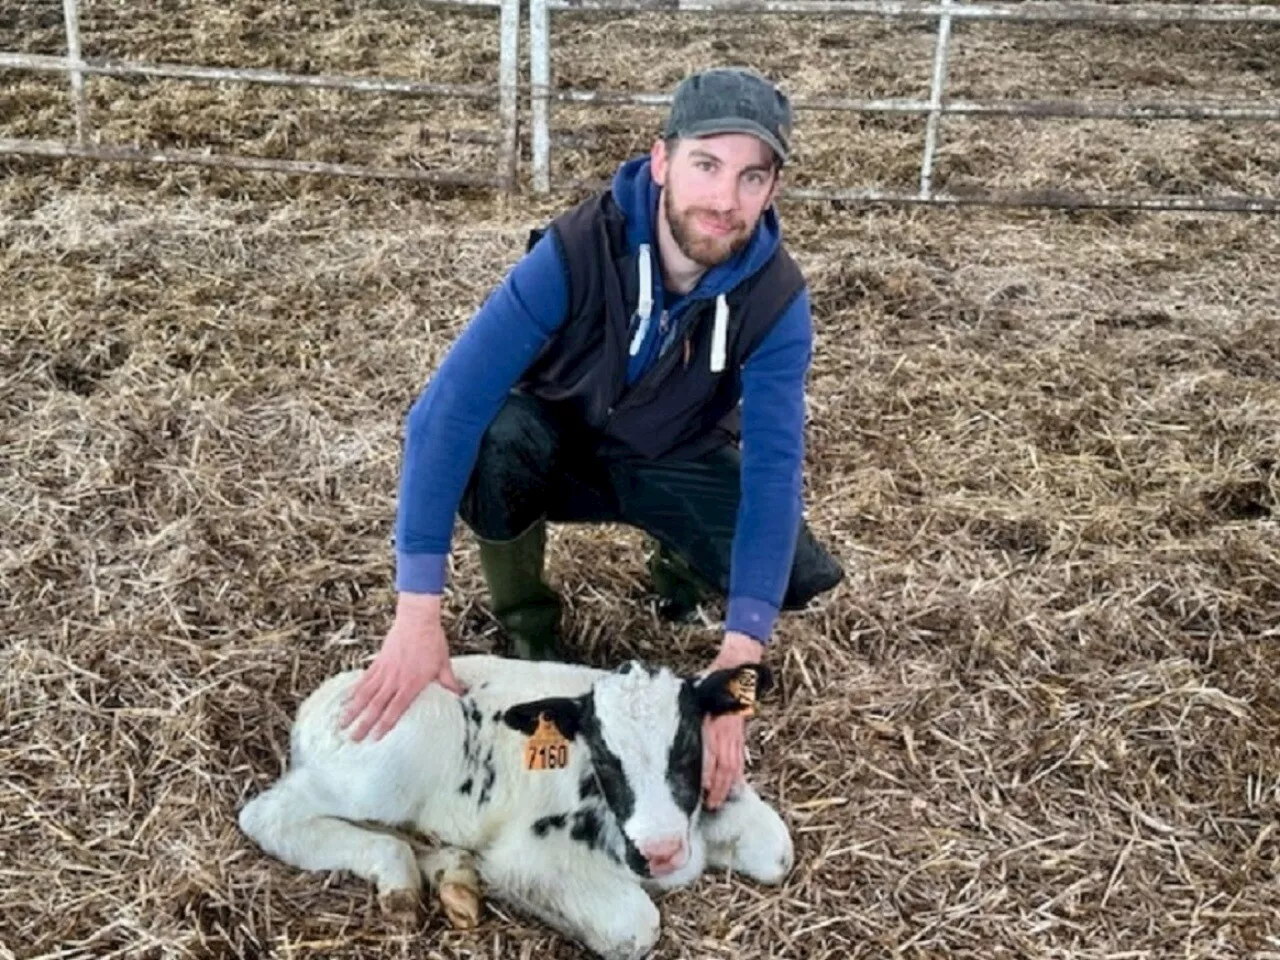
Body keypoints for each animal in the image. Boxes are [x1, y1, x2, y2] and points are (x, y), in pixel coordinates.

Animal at [239, 655, 793, 960]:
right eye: (603, 755)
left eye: (688, 746)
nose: (660, 851)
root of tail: (318, 706)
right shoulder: (530, 852)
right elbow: (633, 927)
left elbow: (777, 852)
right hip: (382, 772)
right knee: (270, 815)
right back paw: (400, 880)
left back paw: (453, 881)